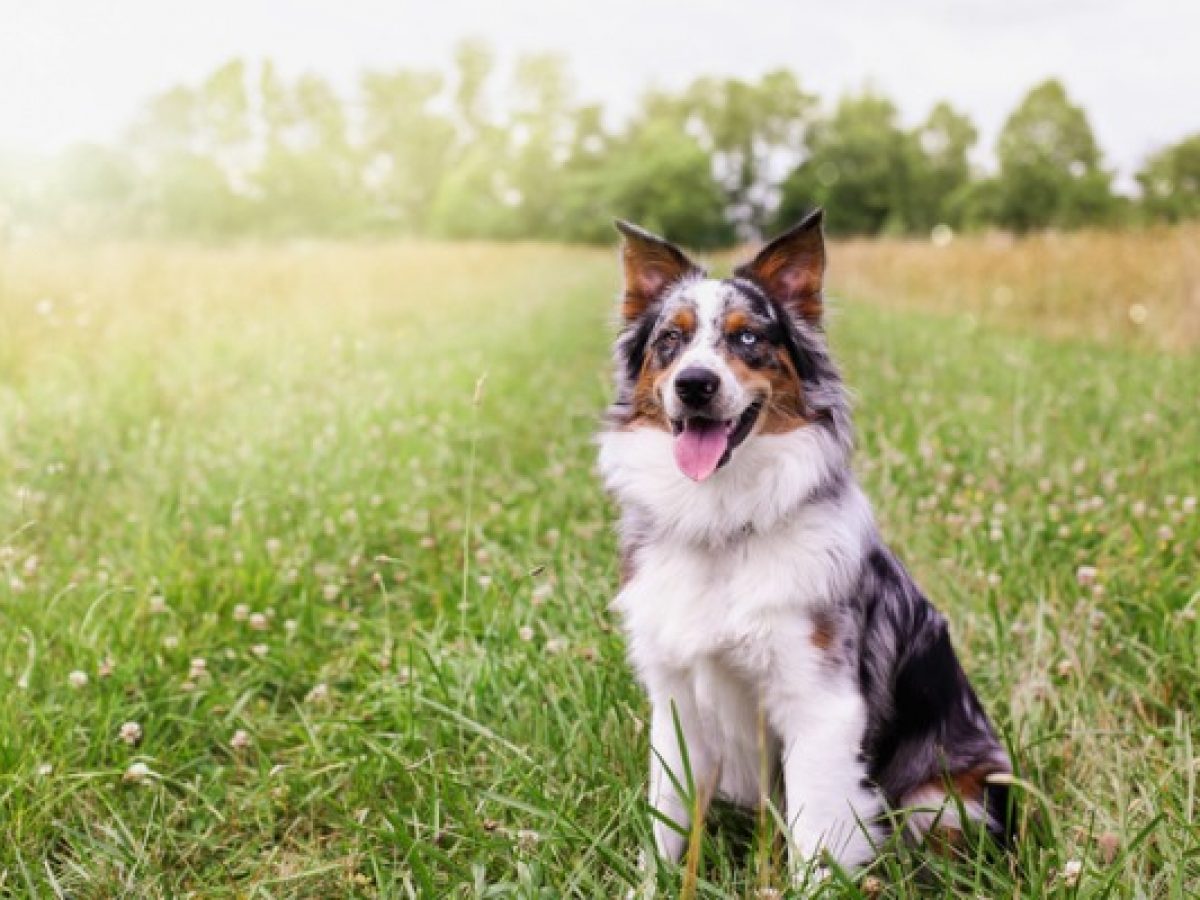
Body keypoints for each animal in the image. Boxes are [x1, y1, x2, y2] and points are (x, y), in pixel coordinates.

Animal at [600, 207, 1012, 878]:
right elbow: (666, 824)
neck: (723, 522)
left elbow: (814, 838)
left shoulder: (821, 703)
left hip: (945, 800)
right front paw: (651, 883)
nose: (694, 384)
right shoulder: (676, 702)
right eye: (670, 340)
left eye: (747, 339)